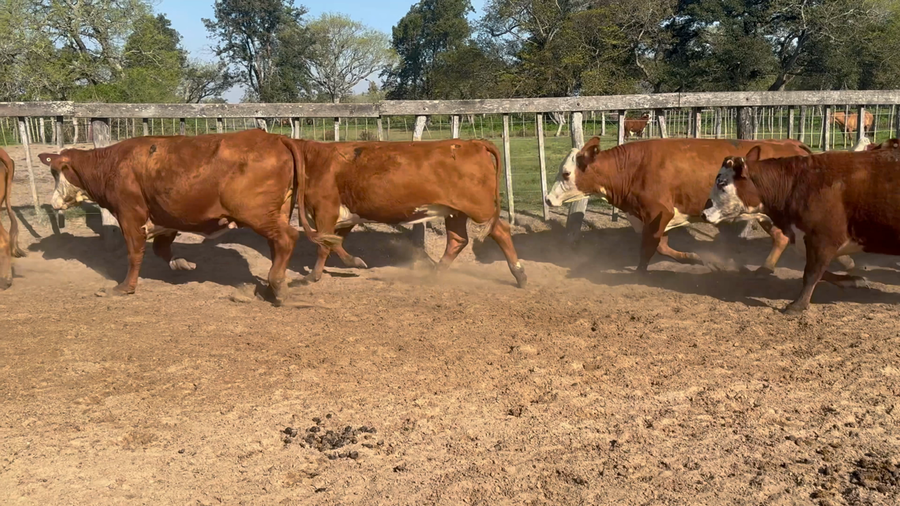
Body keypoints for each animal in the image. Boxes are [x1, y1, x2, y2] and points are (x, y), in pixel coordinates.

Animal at [39, 129, 338, 305]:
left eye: (56, 172)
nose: (53, 203)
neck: (112, 164)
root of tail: (275, 138)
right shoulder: (166, 217)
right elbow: (161, 249)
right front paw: (182, 264)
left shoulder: (129, 214)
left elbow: (135, 253)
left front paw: (124, 287)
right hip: (278, 211)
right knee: (278, 245)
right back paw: (271, 287)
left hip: (257, 213)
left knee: (286, 239)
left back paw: (277, 285)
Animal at [280, 138, 527, 288]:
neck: (316, 161)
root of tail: (471, 142)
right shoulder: (344, 215)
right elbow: (334, 243)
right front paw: (353, 262)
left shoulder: (324, 210)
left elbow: (324, 245)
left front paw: (312, 276)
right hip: (455, 212)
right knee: (458, 240)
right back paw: (435, 273)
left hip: (480, 209)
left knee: (501, 232)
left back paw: (520, 275)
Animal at [545, 137, 856, 274]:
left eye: (566, 173)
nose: (548, 199)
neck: (634, 167)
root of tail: (790, 144)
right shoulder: (653, 217)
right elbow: (661, 246)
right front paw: (694, 258)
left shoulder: (659, 212)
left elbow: (650, 247)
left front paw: (641, 271)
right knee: (782, 238)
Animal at [702, 147, 900, 313]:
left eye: (722, 183)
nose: (703, 213)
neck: (796, 184)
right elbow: (819, 271)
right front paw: (851, 280)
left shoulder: (822, 239)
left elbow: (812, 273)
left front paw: (798, 305)